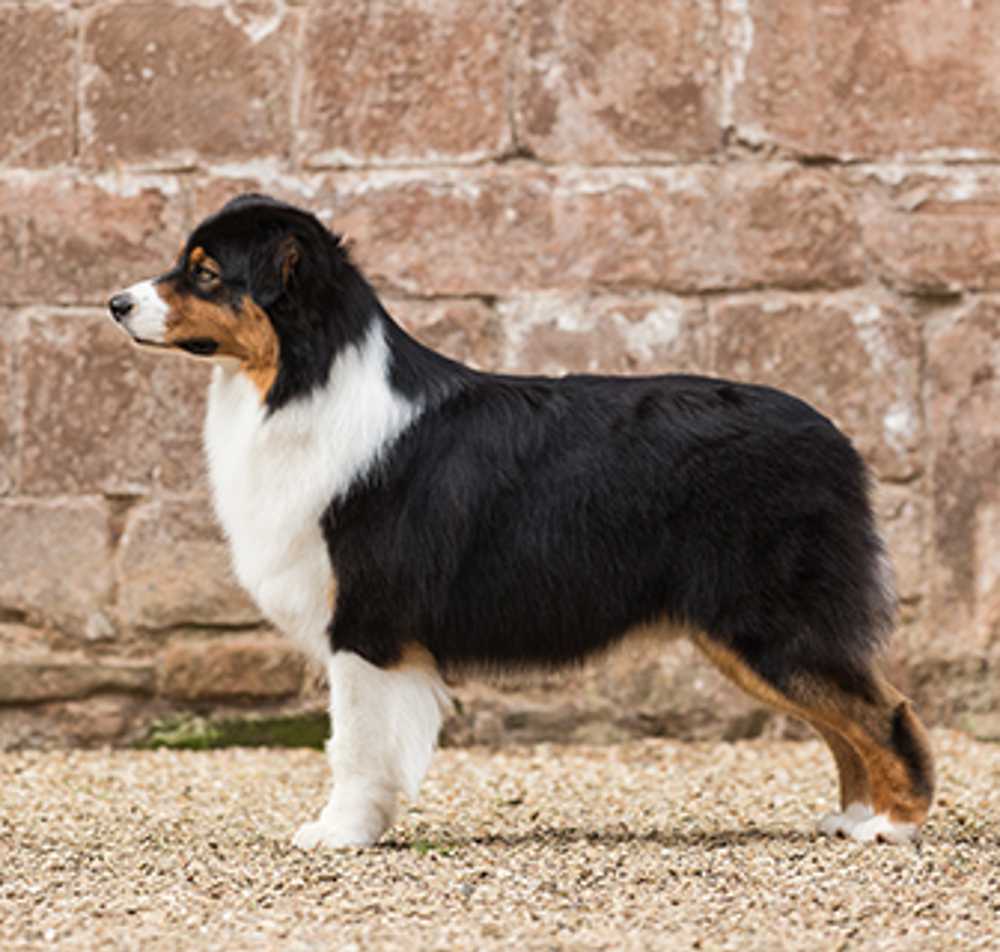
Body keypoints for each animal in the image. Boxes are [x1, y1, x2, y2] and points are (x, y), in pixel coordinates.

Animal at [105, 193, 932, 848]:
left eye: (205, 272)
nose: (115, 302)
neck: (303, 376)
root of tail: (835, 437)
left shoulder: (367, 621)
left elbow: (356, 743)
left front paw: (339, 833)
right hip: (743, 634)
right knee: (842, 718)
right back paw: (853, 817)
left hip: (765, 621)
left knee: (883, 709)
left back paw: (892, 825)